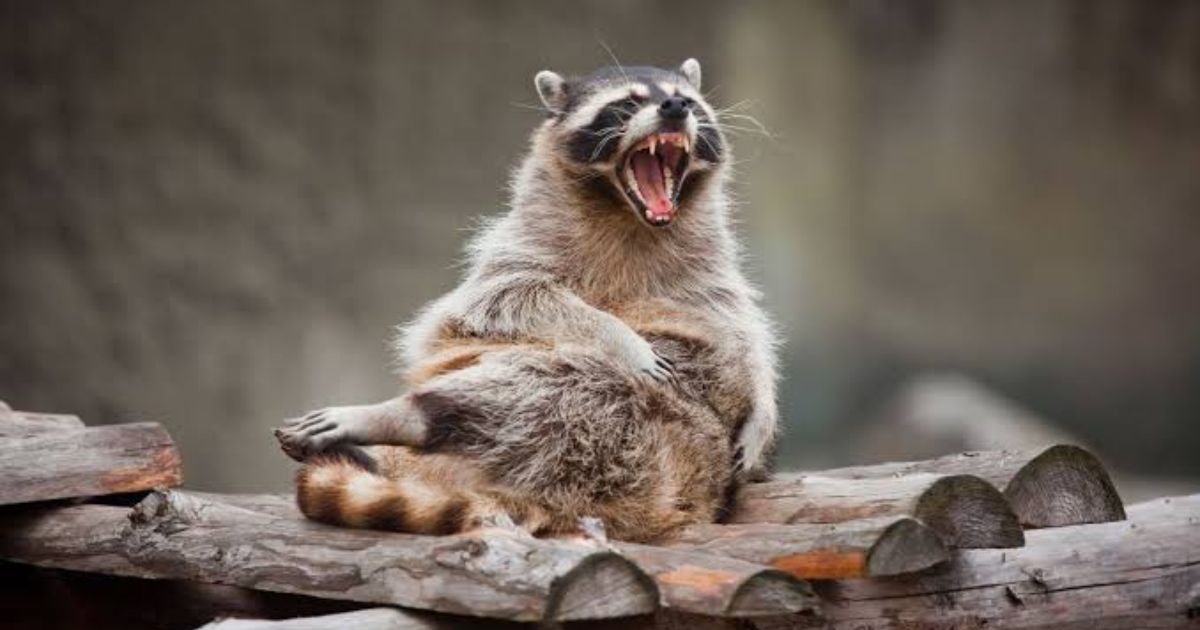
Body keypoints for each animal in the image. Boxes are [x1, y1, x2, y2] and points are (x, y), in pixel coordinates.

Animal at [274, 58, 779, 542]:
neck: (630, 215)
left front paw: (762, 405)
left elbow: (740, 330)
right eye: (628, 103)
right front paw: (617, 334)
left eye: (687, 100)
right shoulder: (521, 239)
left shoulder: (709, 264)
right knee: (550, 377)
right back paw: (411, 413)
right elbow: (509, 296)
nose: (675, 108)